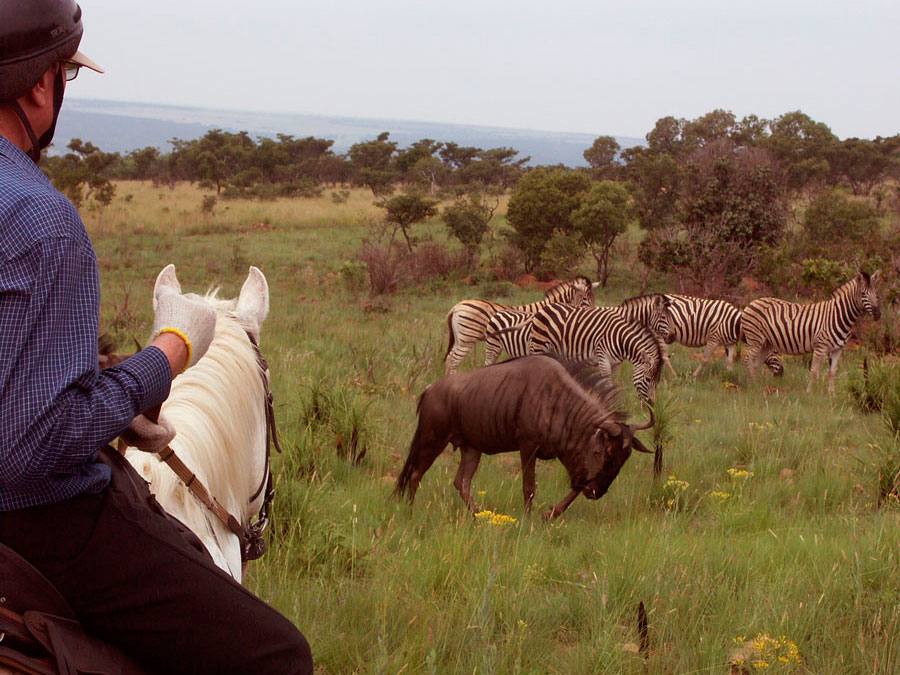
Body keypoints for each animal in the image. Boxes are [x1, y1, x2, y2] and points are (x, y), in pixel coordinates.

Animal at [444, 278, 596, 378]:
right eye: (584, 299)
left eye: (592, 298)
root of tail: (456, 307)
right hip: (467, 338)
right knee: (454, 360)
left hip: (460, 338)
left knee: (450, 358)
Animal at [528, 304, 660, 404]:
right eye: (648, 379)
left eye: (657, 382)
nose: (651, 404)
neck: (621, 338)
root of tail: (545, 307)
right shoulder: (603, 357)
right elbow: (607, 383)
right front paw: (610, 402)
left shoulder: (614, 363)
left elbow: (610, 383)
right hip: (539, 345)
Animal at [740, 272, 884, 394]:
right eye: (863, 294)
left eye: (876, 293)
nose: (878, 314)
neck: (838, 316)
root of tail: (752, 302)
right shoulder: (820, 347)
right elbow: (814, 371)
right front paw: (809, 393)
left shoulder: (838, 349)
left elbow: (832, 372)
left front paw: (832, 395)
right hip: (755, 340)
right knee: (748, 359)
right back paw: (752, 386)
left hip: (766, 343)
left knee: (756, 363)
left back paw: (757, 386)